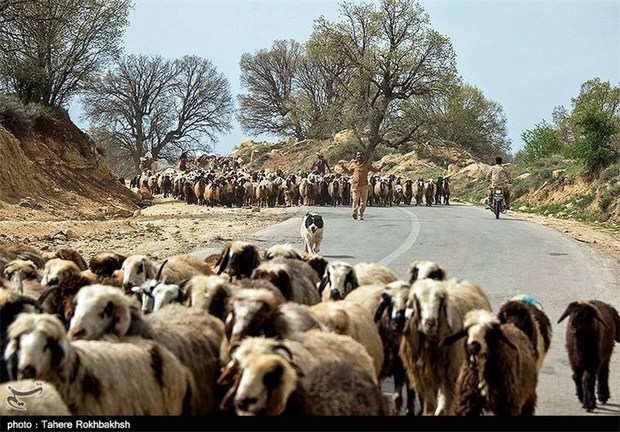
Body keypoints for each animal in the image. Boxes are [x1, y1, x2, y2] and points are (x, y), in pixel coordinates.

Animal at [400, 276, 492, 416]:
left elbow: (444, 405)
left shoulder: (449, 373)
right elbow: (430, 405)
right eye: (418, 301)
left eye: (439, 300)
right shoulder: (423, 374)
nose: (430, 323)